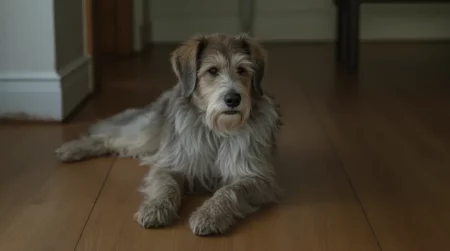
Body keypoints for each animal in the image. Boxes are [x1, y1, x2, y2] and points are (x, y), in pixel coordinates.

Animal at [55, 32, 282, 235]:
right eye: (212, 70)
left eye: (242, 69)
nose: (233, 99)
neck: (216, 131)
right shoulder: (170, 164)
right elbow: (166, 186)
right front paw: (156, 208)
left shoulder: (258, 178)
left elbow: (229, 191)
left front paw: (209, 215)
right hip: (146, 135)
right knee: (110, 137)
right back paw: (72, 149)